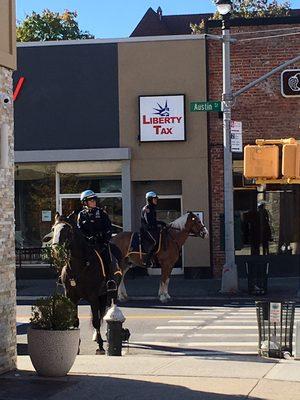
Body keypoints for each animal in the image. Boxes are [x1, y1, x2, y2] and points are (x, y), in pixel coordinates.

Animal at [51, 212, 122, 354]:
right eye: (53, 229)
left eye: (67, 230)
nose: (56, 251)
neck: (79, 265)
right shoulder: (71, 297)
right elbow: (75, 320)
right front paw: (76, 346)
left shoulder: (93, 296)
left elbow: (95, 320)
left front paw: (100, 346)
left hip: (112, 292)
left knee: (104, 313)